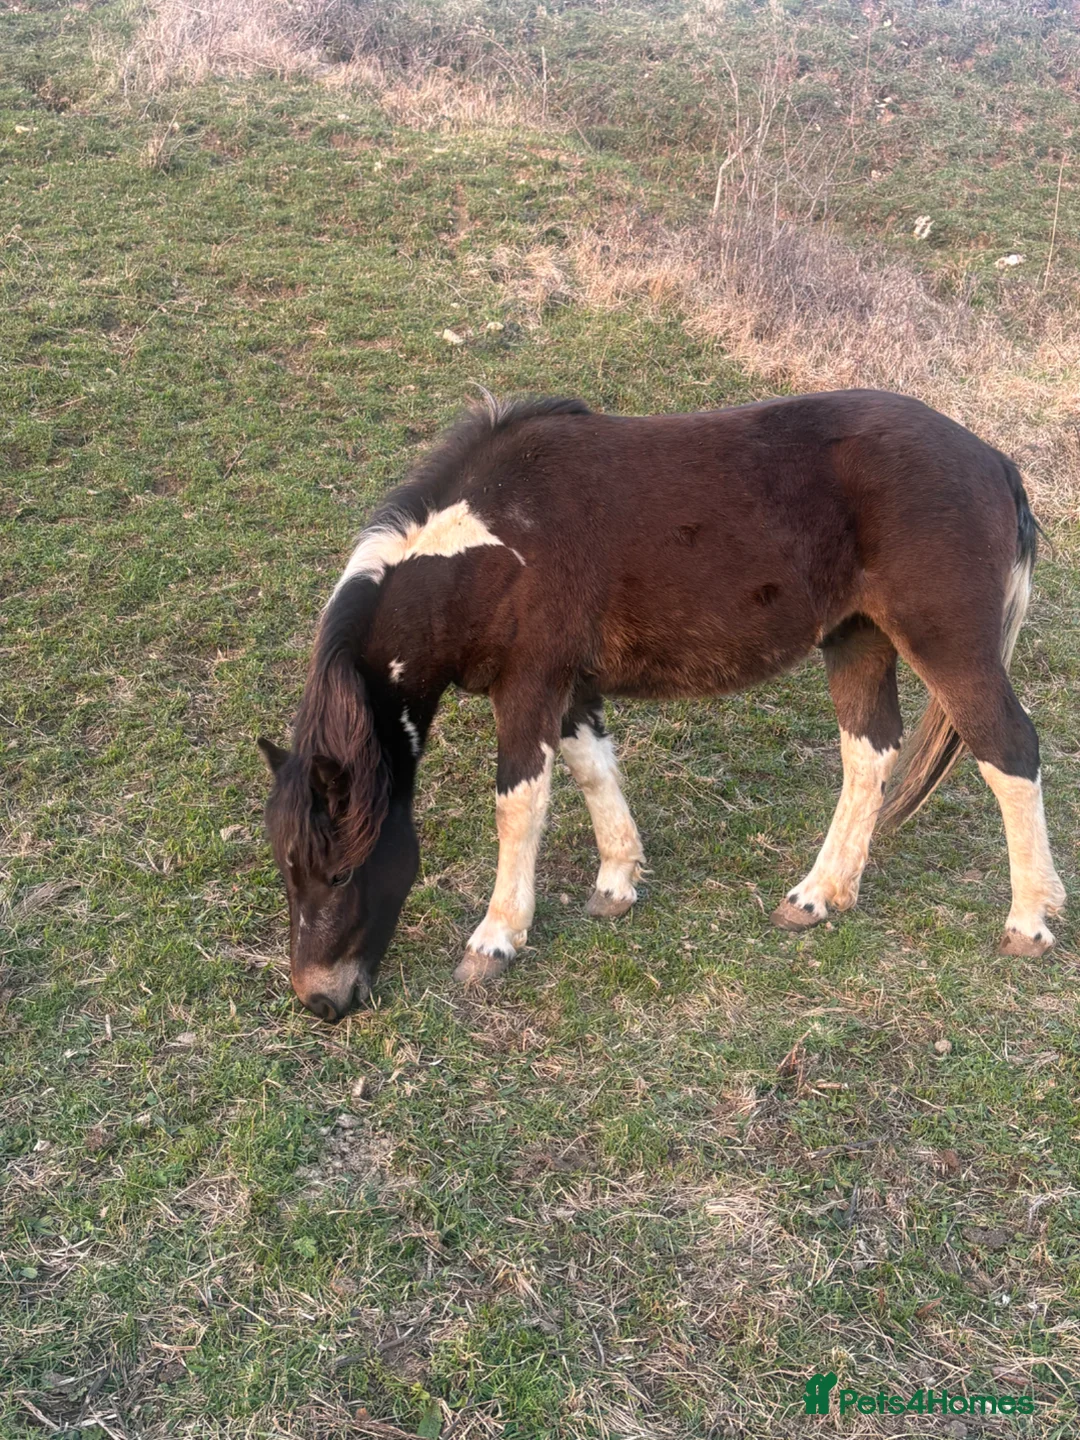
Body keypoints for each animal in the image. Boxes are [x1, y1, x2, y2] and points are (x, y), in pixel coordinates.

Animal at [258, 389, 1065, 1022]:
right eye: (288, 867)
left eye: (337, 871)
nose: (319, 1000)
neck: (491, 544)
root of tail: (994, 461)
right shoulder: (569, 688)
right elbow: (592, 770)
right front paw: (617, 881)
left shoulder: (527, 687)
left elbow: (519, 804)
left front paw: (496, 937)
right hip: (858, 638)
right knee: (869, 754)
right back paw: (819, 895)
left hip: (947, 648)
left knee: (1009, 752)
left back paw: (1028, 922)